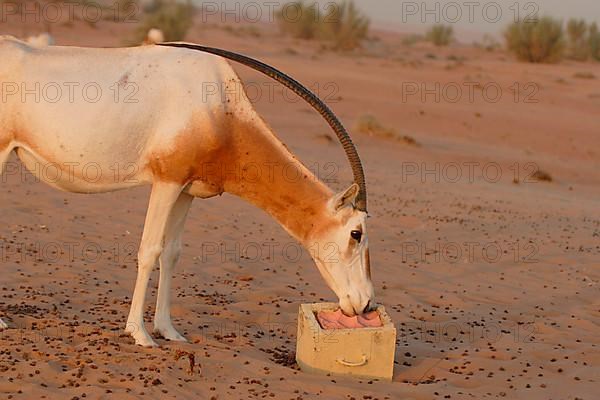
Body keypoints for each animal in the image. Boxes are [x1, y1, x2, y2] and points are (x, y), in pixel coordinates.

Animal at [0, 36, 372, 346]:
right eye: (356, 233)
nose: (366, 304)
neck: (220, 109)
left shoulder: (186, 191)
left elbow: (172, 252)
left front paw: (169, 331)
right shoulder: (166, 181)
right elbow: (149, 250)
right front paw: (140, 334)